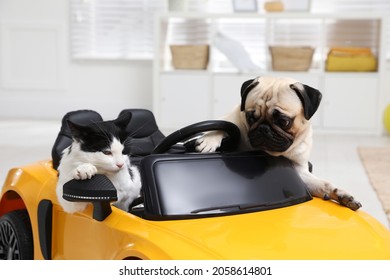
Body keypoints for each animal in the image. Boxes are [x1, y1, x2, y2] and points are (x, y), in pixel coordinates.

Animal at [198, 75, 362, 211]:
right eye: (250, 118)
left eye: (283, 121)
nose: (263, 129)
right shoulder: (232, 119)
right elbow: (222, 125)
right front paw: (209, 138)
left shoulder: (299, 170)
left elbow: (324, 184)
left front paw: (341, 195)